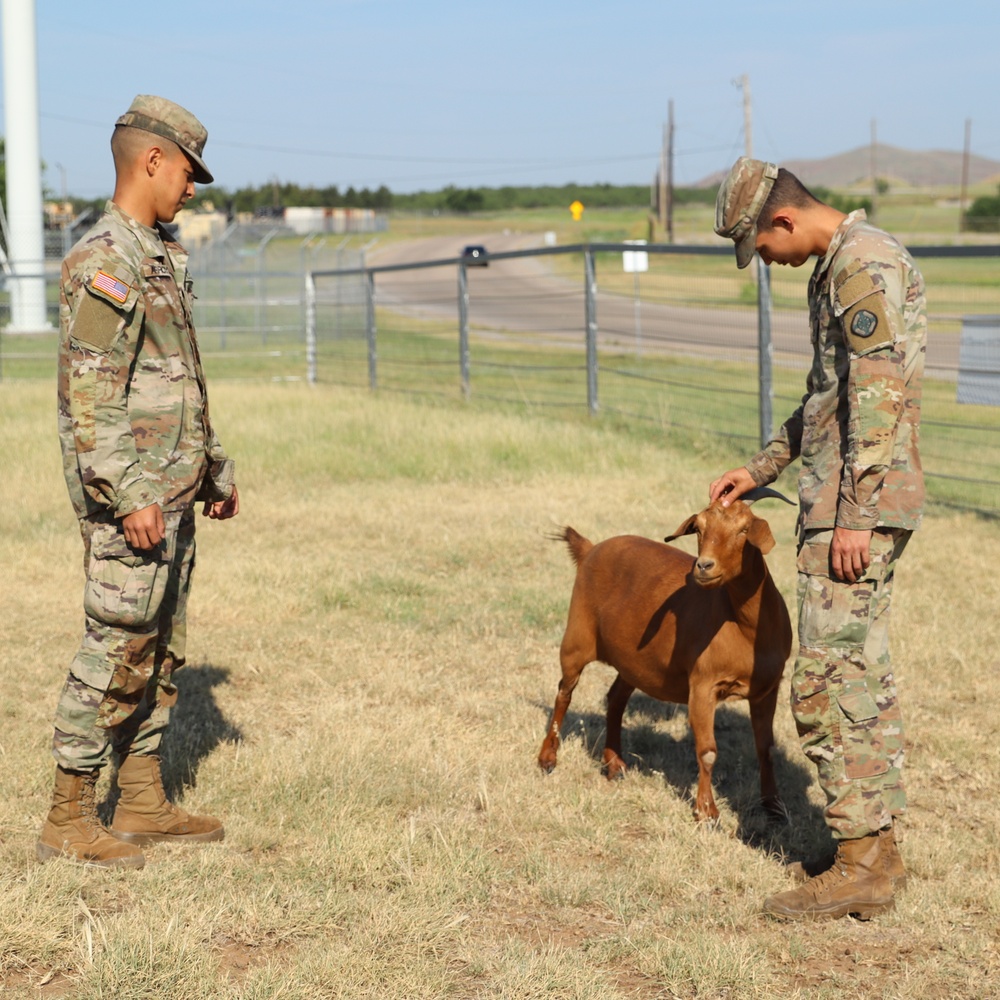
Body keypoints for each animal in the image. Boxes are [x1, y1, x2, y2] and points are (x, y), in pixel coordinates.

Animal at [544, 492, 792, 820]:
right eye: (698, 528)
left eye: (744, 529)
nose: (704, 566)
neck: (746, 628)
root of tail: (590, 549)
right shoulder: (702, 685)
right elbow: (707, 751)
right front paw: (706, 811)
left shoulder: (768, 688)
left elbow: (766, 748)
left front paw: (774, 805)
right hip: (576, 637)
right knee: (564, 693)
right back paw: (547, 759)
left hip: (634, 662)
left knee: (615, 698)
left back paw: (614, 764)